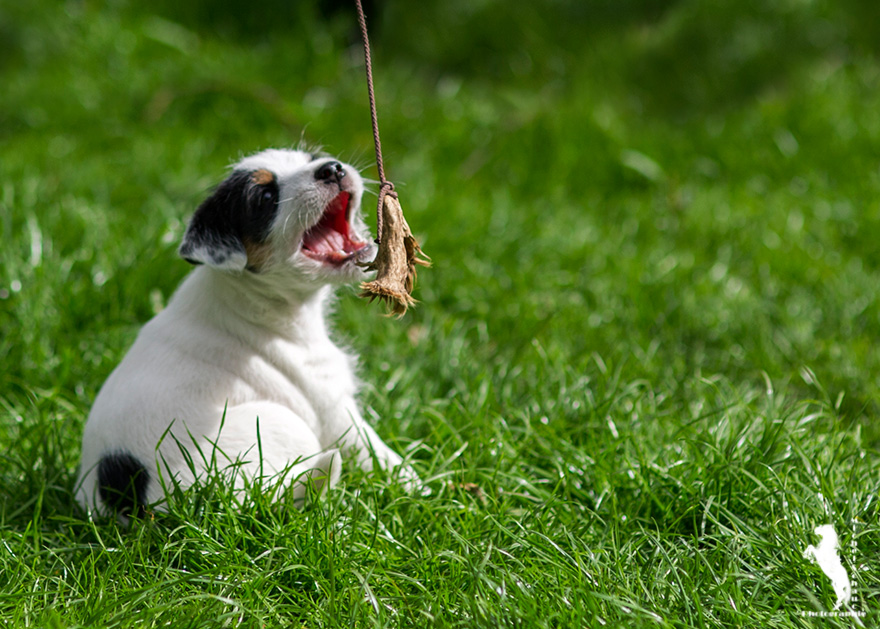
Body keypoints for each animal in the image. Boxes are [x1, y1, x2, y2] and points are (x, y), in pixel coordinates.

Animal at [76, 147, 416, 516]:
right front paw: (422, 489)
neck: (262, 297)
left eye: (312, 157)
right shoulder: (334, 411)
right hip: (283, 424)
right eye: (265, 197)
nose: (332, 169)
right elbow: (379, 455)